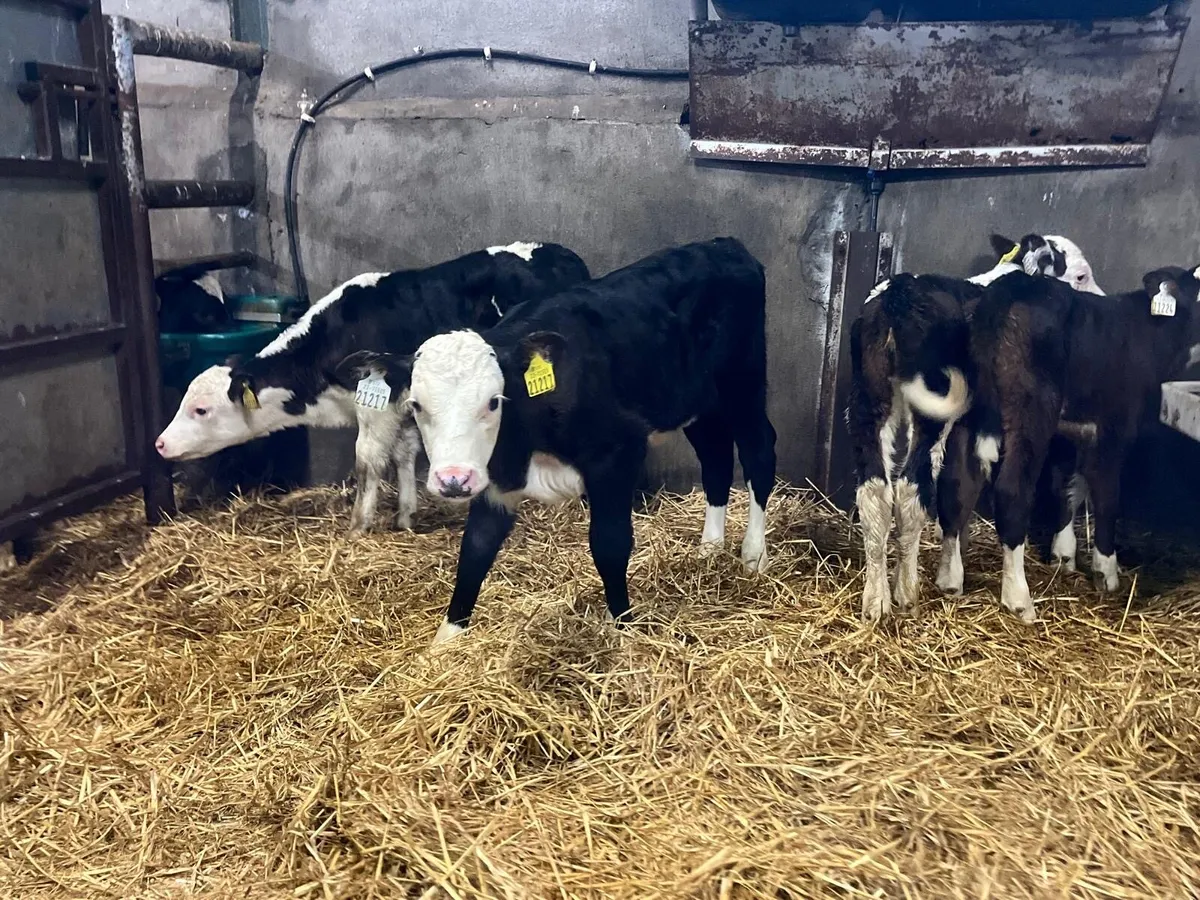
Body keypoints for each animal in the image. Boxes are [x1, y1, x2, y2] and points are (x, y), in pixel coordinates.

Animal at [155, 243, 590, 533]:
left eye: (200, 409)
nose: (160, 444)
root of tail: (561, 253)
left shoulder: (375, 405)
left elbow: (367, 460)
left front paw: (358, 526)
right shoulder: (404, 403)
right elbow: (404, 454)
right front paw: (405, 516)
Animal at [341, 238, 776, 645]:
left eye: (493, 401)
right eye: (416, 404)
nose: (454, 479)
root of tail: (724, 244)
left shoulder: (617, 454)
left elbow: (610, 544)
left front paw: (623, 626)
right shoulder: (496, 480)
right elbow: (475, 550)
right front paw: (446, 641)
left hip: (743, 385)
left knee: (758, 452)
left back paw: (753, 555)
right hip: (698, 404)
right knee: (716, 459)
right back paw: (710, 549)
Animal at [847, 233, 1103, 622]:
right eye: (1080, 276)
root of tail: (900, 294)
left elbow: (958, 489)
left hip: (869, 398)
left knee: (875, 492)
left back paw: (876, 601)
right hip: (933, 410)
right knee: (911, 489)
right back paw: (907, 593)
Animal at [931, 265, 1200, 621]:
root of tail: (1004, 291)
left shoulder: (1071, 432)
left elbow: (1068, 486)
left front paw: (1064, 554)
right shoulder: (1114, 428)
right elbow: (1106, 496)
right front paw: (1106, 572)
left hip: (970, 409)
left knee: (956, 484)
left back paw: (950, 579)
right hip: (1032, 406)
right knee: (1012, 491)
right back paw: (1018, 598)